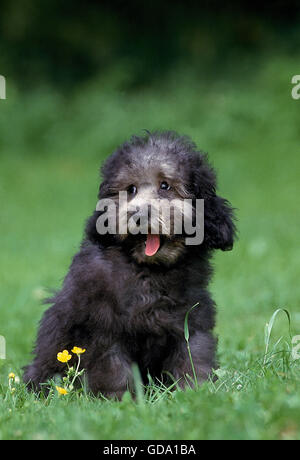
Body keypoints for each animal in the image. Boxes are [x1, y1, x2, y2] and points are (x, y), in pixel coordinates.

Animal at [22, 130, 237, 398]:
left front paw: (195, 392)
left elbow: (193, 357)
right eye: (130, 189)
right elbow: (114, 369)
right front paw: (122, 400)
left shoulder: (191, 320)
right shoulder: (104, 328)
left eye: (165, 185)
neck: (148, 269)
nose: (138, 215)